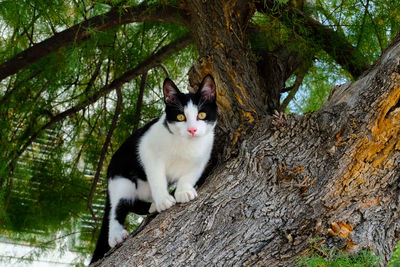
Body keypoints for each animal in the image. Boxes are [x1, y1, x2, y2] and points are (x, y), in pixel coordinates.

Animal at [90, 74, 217, 264]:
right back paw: (116, 234)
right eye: (181, 117)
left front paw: (183, 191)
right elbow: (157, 178)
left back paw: (152, 206)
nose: (192, 130)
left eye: (201, 114)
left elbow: (190, 175)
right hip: (120, 178)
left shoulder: (202, 156)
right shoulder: (147, 150)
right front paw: (164, 200)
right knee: (118, 206)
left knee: (134, 203)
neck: (185, 145)